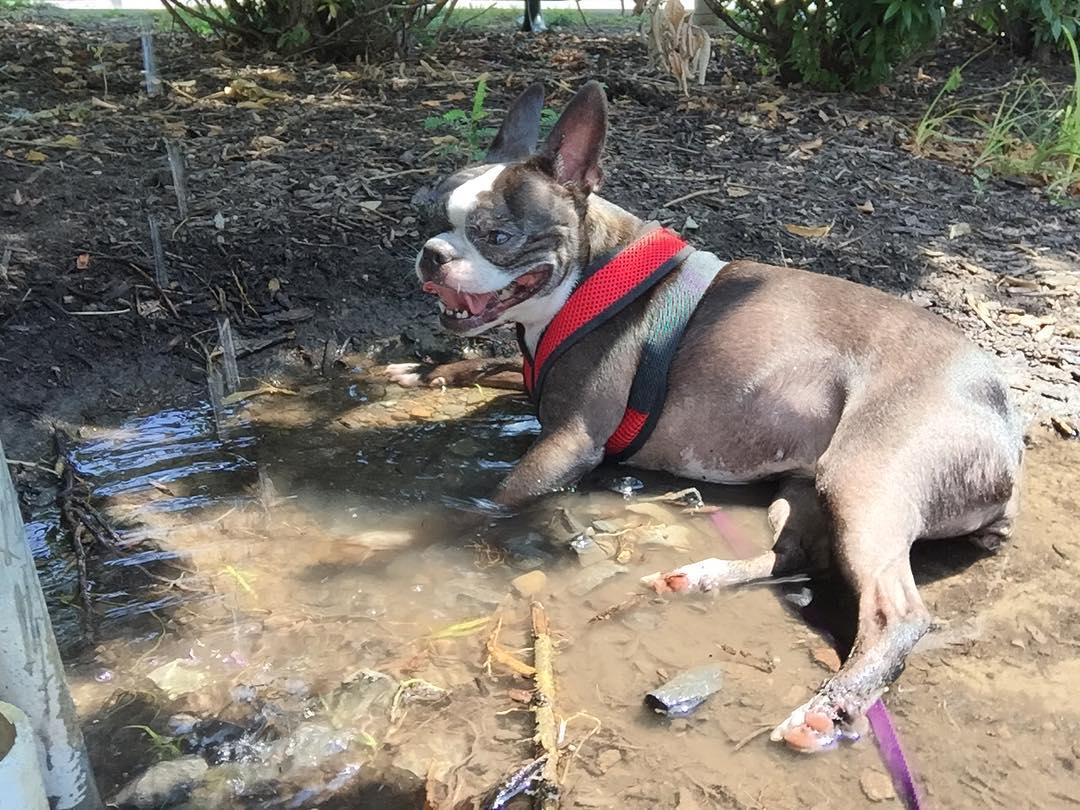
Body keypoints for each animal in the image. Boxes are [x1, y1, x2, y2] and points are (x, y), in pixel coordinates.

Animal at [389, 81, 1024, 752]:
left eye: (497, 235)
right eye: (429, 218)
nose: (432, 254)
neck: (587, 276)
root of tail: (1003, 423)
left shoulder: (570, 442)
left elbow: (490, 502)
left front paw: (409, 537)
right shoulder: (537, 385)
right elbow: (490, 366)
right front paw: (423, 372)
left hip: (864, 483)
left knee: (896, 614)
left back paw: (829, 707)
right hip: (803, 487)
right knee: (799, 555)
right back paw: (704, 576)